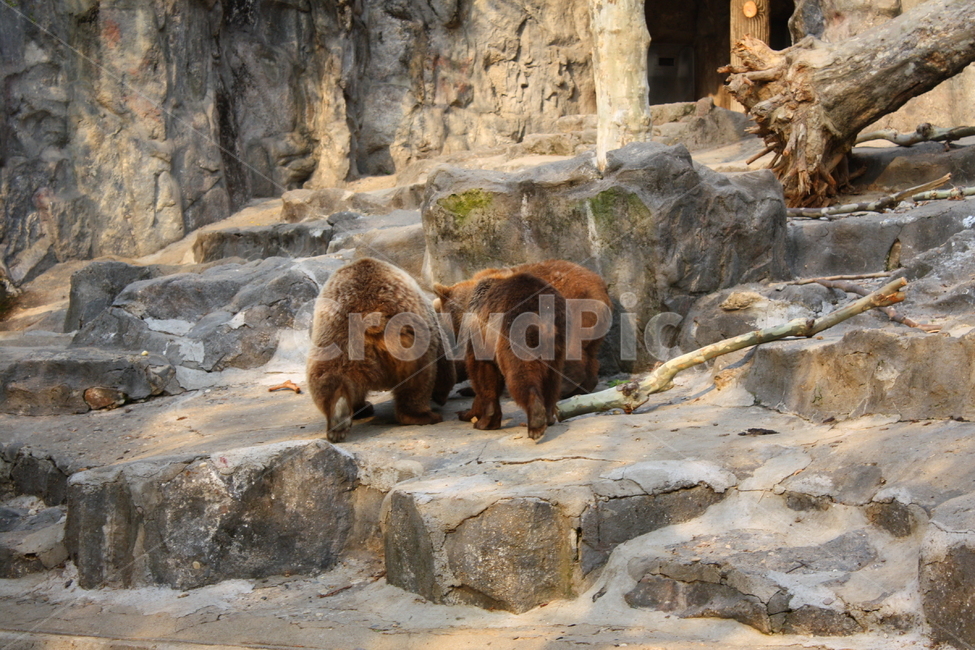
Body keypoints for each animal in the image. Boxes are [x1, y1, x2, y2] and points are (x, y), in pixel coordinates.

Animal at [307, 257, 455, 442]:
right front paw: (441, 395)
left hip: (335, 341)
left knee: (326, 377)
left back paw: (339, 419)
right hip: (412, 342)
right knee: (419, 378)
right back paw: (423, 416)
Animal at [459, 272, 566, 441]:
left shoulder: (482, 335)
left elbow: (482, 373)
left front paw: (484, 421)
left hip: (515, 328)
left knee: (520, 374)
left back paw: (535, 420)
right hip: (557, 339)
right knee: (552, 378)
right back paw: (549, 416)